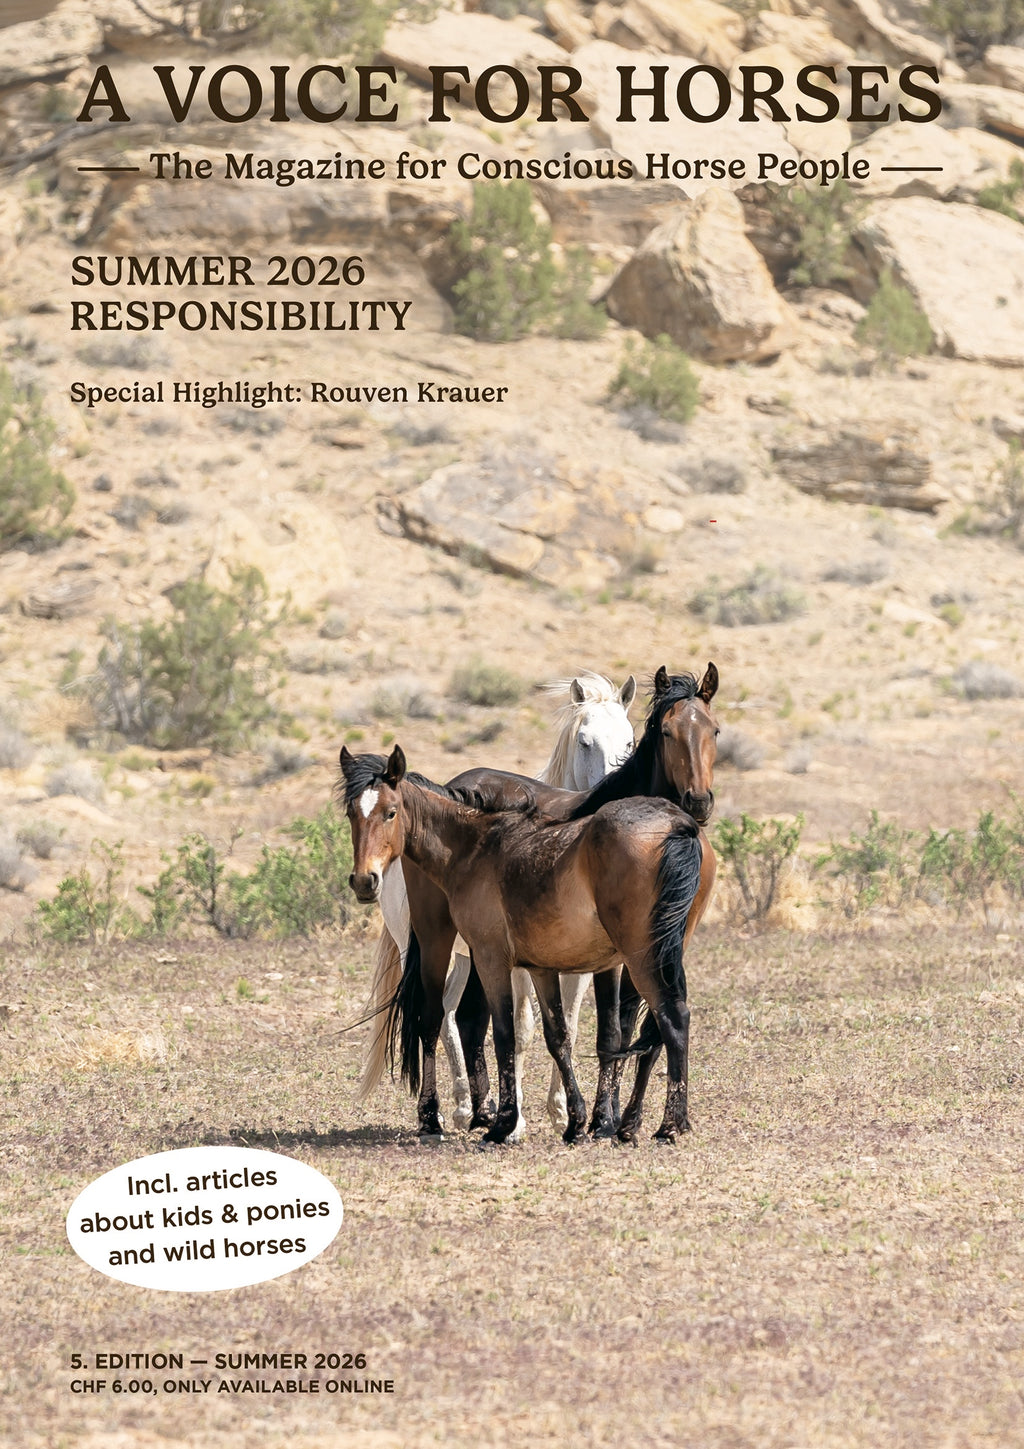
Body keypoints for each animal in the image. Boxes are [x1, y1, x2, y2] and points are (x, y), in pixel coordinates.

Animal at [352, 666, 719, 1140]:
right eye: (668, 731)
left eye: (713, 730)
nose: (698, 800)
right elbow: (581, 1033)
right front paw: (588, 1118)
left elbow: (615, 1032)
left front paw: (604, 1117)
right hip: (431, 942)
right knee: (439, 1018)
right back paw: (455, 1111)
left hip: (477, 954)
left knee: (466, 1019)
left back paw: (482, 1110)